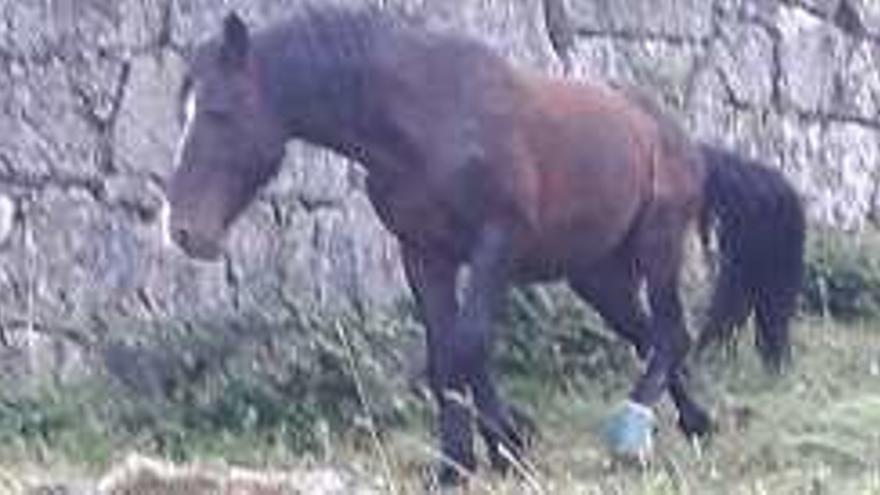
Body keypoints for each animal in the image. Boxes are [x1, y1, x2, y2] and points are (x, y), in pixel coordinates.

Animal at [163, 6, 804, 488]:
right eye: (184, 112)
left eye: (219, 112)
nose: (184, 231)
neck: (426, 118)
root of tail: (686, 144)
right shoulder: (424, 254)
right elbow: (443, 353)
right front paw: (461, 462)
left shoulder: (497, 243)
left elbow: (467, 345)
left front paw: (507, 443)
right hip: (597, 276)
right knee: (652, 336)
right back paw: (697, 420)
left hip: (658, 247)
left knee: (671, 333)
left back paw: (630, 432)